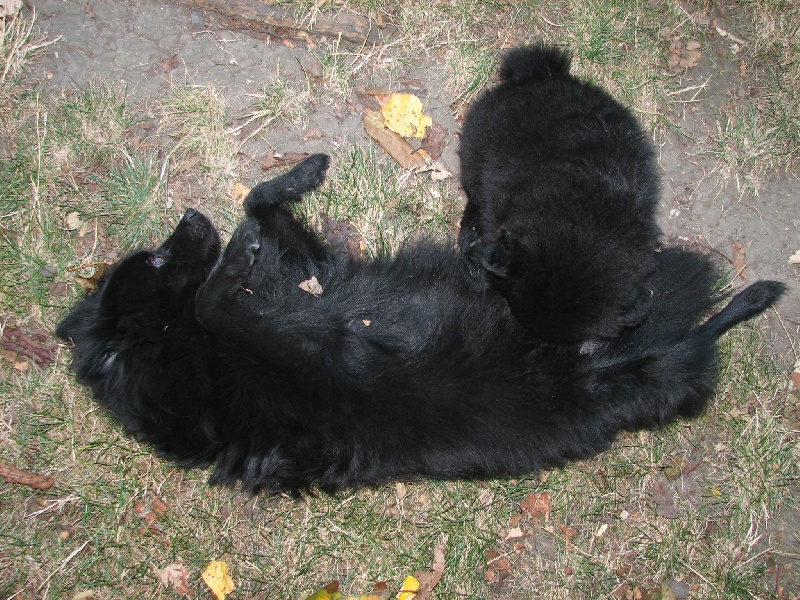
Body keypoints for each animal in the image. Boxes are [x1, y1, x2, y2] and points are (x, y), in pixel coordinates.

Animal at [57, 157, 788, 494]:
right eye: (157, 259)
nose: (188, 215)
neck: (179, 352)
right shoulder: (276, 336)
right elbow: (218, 288)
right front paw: (242, 244)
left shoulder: (316, 271)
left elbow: (260, 203)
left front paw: (297, 175)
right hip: (641, 378)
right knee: (698, 342)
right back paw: (756, 294)